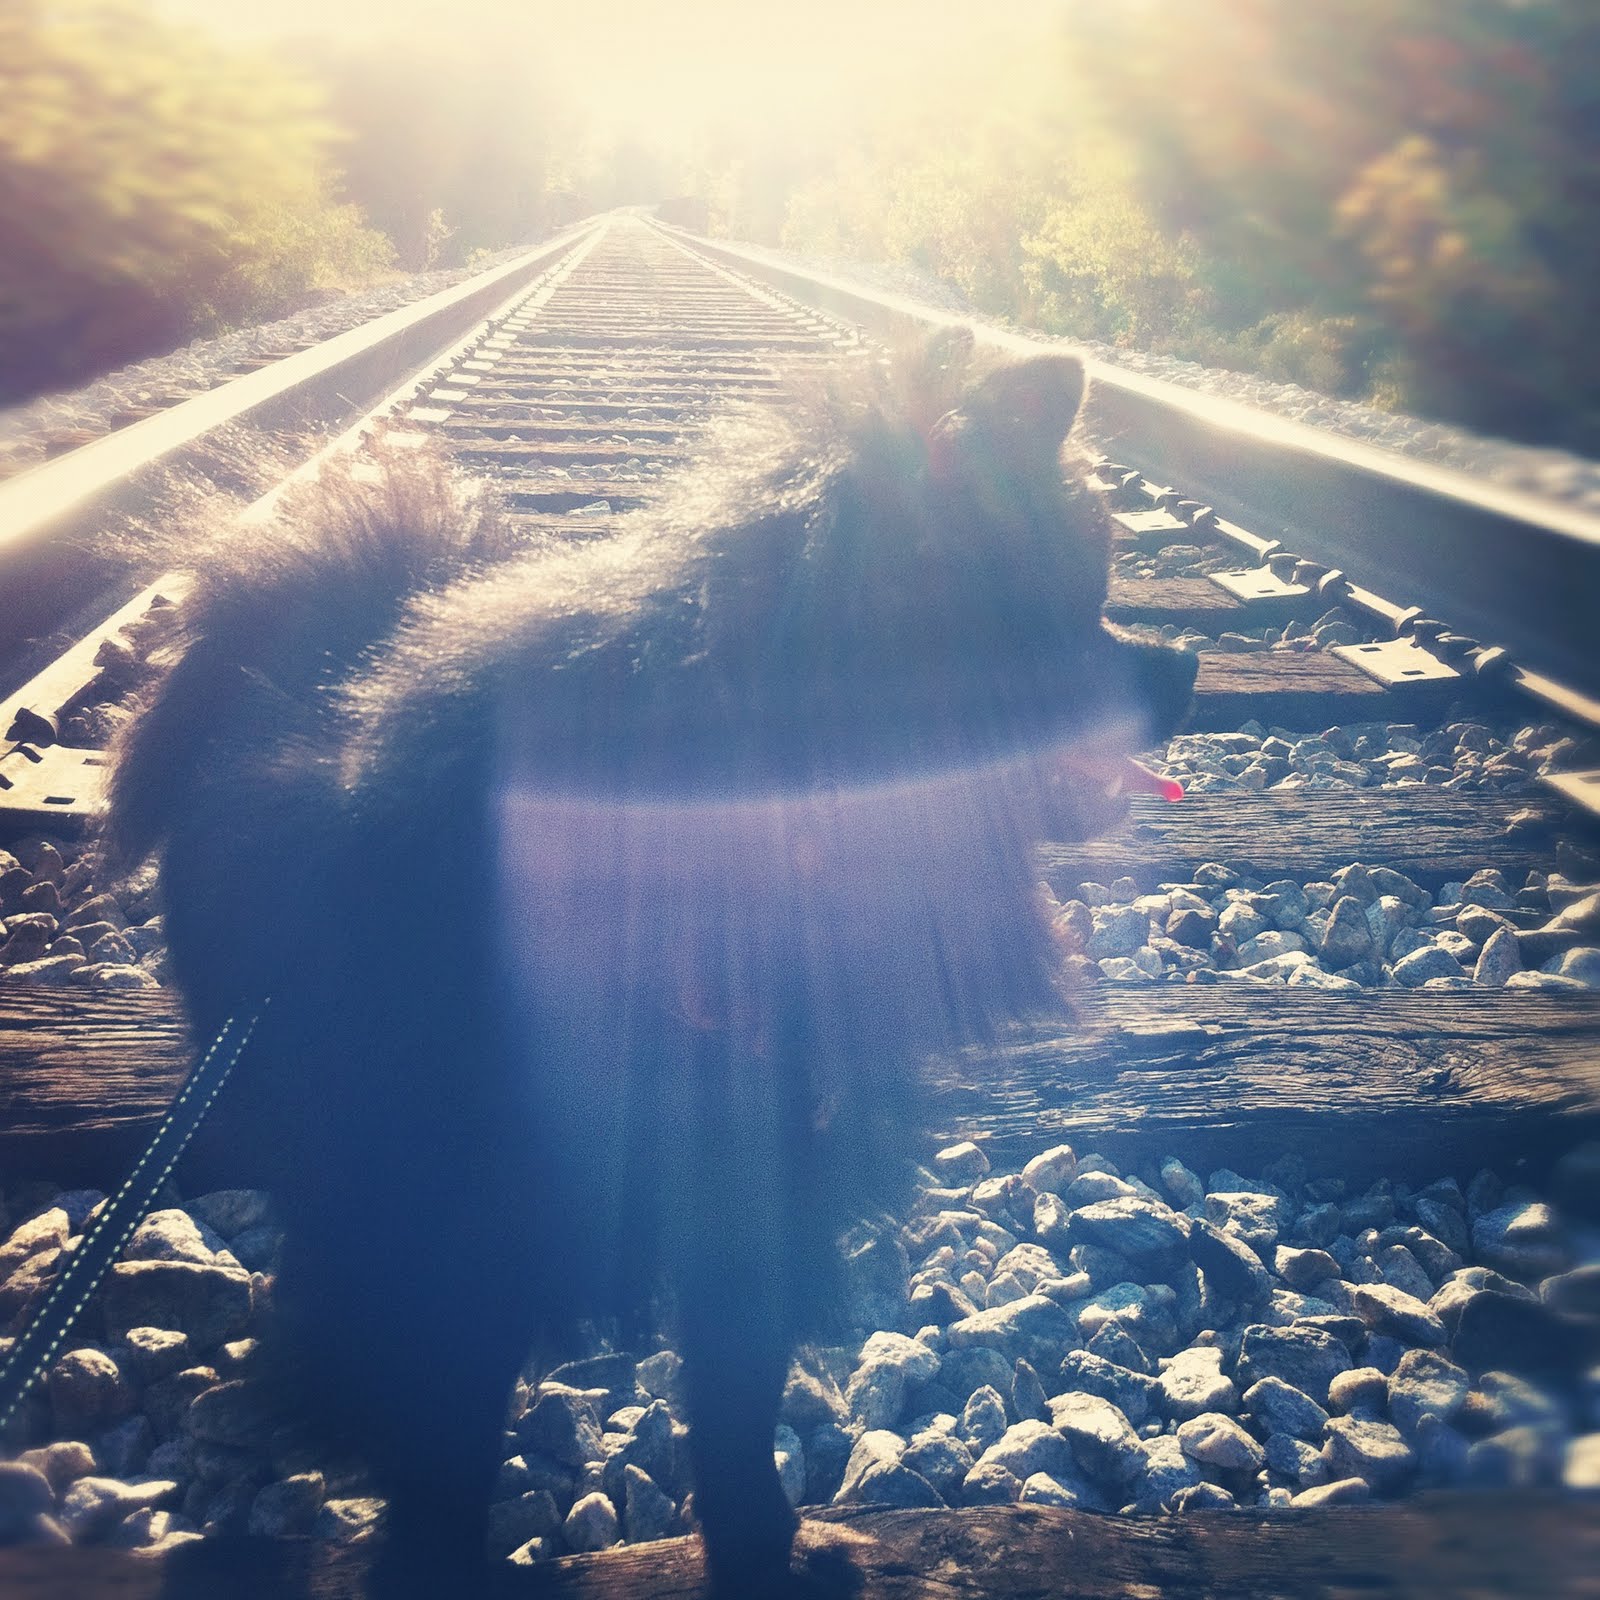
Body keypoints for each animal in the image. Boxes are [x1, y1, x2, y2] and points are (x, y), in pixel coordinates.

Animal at [106, 331, 1196, 1593]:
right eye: (1078, 609)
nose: (1189, 663)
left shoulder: (754, 1191)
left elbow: (734, 1397)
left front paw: (767, 1543)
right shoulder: (454, 1221)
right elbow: (443, 1431)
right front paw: (433, 1555)